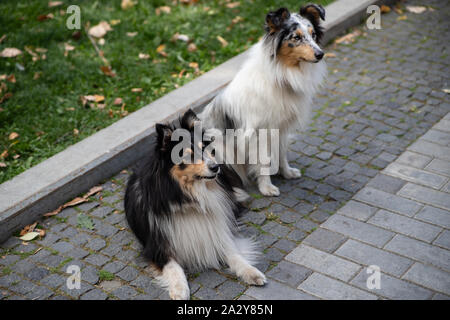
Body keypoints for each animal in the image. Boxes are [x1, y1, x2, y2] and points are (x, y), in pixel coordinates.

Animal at [125, 109, 266, 300]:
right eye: (186, 155)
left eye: (204, 148)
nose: (215, 167)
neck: (191, 198)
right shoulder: (157, 246)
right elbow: (173, 267)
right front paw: (179, 289)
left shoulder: (218, 230)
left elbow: (233, 253)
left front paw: (251, 271)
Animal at [200, 4, 326, 195]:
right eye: (296, 37)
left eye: (313, 35)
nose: (321, 54)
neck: (282, 76)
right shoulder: (259, 133)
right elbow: (264, 160)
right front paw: (266, 187)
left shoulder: (281, 128)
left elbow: (281, 153)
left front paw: (286, 172)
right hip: (221, 147)